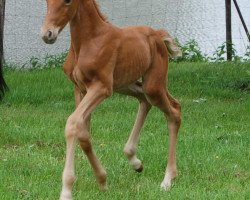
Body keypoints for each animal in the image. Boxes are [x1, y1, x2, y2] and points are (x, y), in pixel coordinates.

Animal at [41, 0, 182, 198]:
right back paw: (135, 161)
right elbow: (83, 133)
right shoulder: (80, 89)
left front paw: (67, 190)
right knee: (145, 100)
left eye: (68, 1)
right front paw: (102, 181)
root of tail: (158, 34)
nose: (47, 34)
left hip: (153, 85)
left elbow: (72, 123)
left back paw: (168, 179)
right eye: (46, 2)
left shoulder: (101, 88)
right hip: (126, 85)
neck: (89, 41)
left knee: (174, 111)